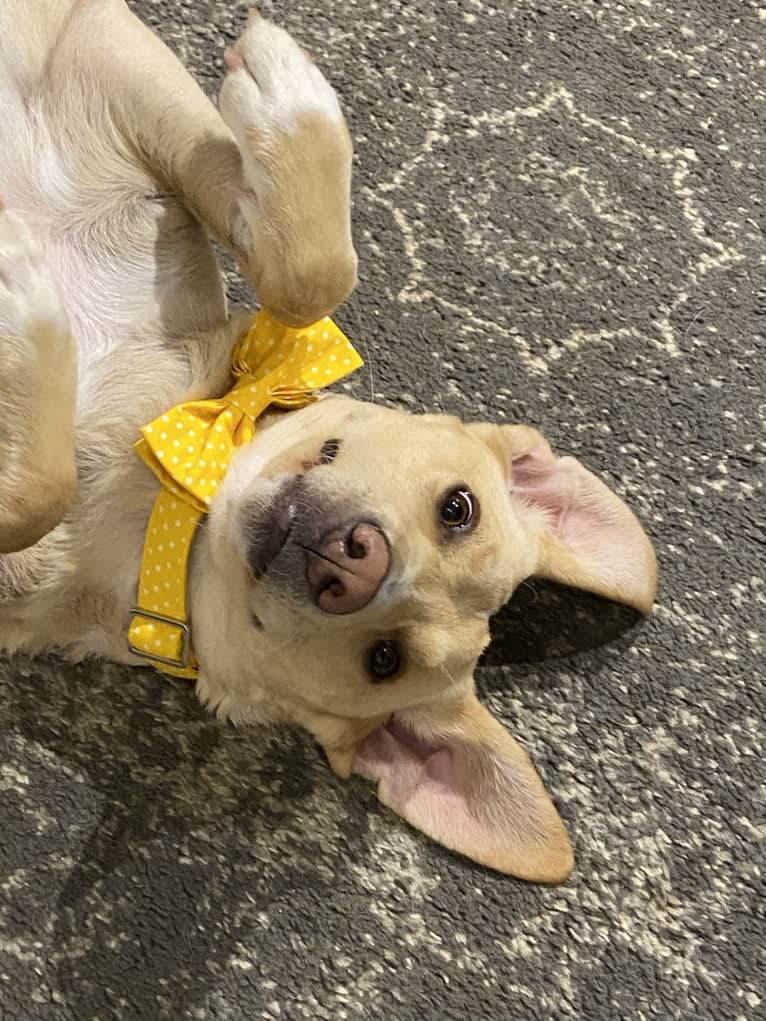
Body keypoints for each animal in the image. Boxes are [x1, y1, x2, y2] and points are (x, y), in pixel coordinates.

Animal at [0, 0, 661, 882]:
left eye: (384, 661)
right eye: (459, 508)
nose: (354, 561)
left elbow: (38, 489)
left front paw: (29, 305)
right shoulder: (97, 52)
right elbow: (310, 276)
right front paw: (289, 92)